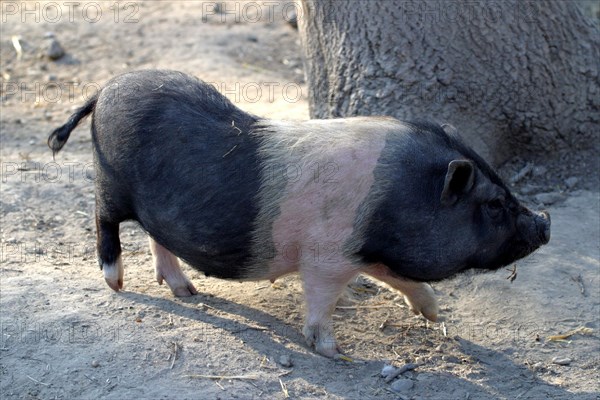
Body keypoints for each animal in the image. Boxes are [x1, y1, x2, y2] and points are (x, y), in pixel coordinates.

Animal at [49, 70, 552, 358]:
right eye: (493, 204)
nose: (545, 223)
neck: (395, 196)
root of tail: (104, 89)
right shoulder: (327, 257)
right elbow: (322, 300)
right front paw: (332, 352)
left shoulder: (365, 251)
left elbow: (402, 279)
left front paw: (432, 314)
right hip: (109, 182)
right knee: (102, 219)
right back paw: (116, 282)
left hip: (157, 207)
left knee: (158, 236)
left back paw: (187, 292)